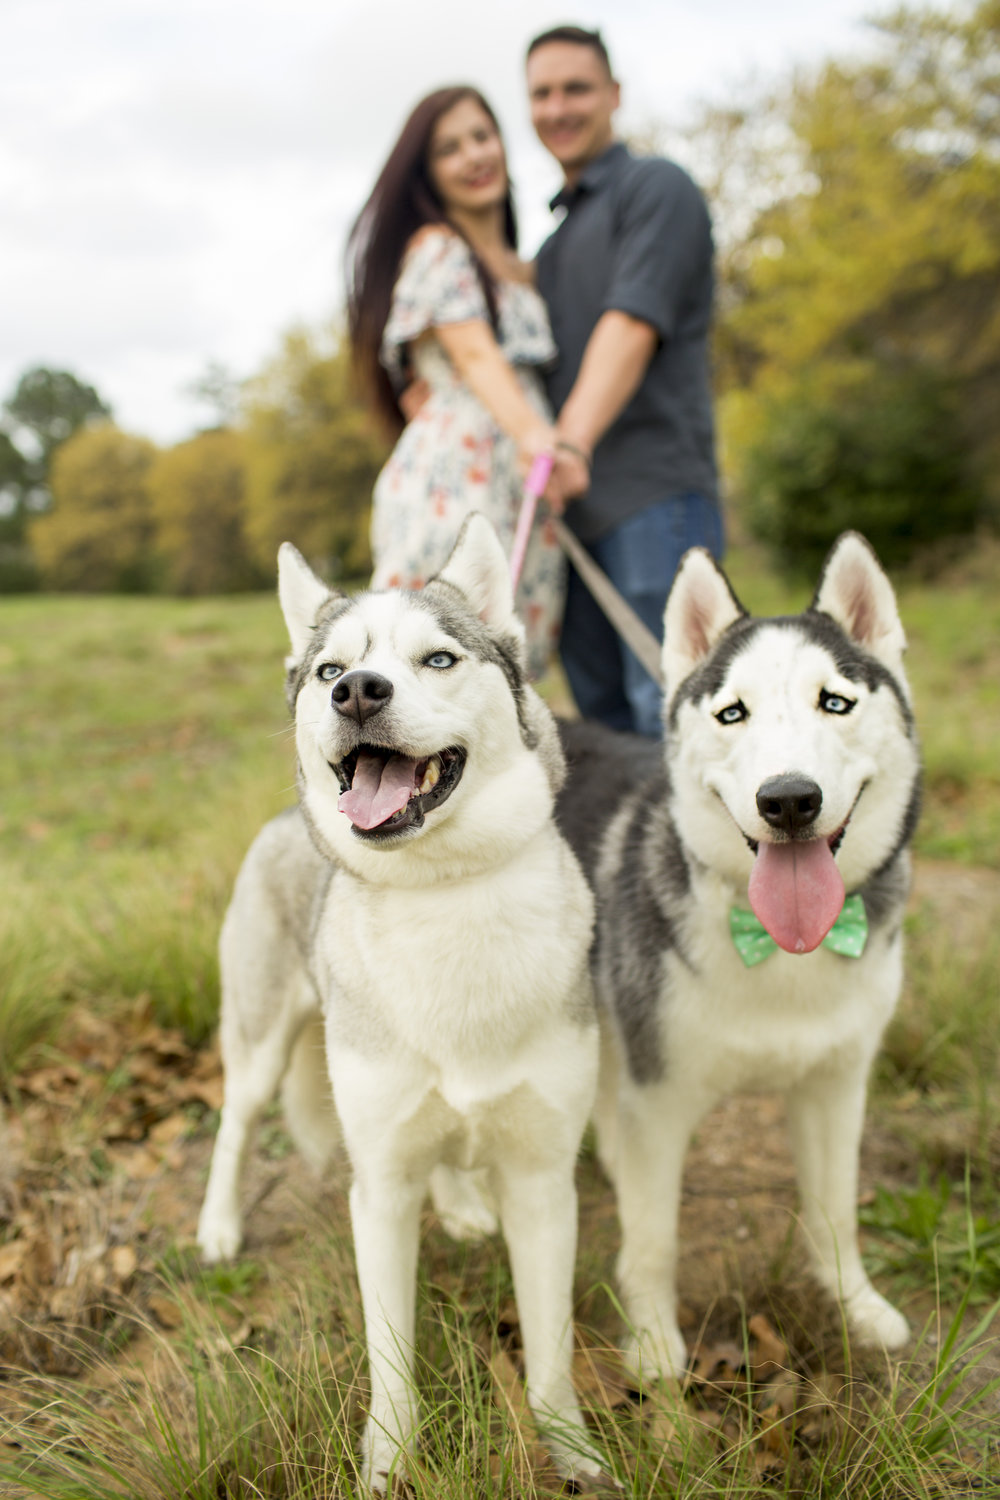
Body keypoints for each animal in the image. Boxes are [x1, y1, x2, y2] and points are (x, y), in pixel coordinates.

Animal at [194, 513, 602, 1488]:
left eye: (439, 659)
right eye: (332, 671)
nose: (358, 693)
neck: (445, 894)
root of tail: (280, 822)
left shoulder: (544, 1180)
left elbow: (551, 1349)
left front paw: (571, 1452)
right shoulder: (376, 1189)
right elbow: (391, 1354)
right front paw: (388, 1460)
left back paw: (459, 1204)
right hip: (259, 1045)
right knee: (233, 1125)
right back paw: (219, 1226)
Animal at [554, 534, 923, 1374]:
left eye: (835, 702)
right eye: (732, 713)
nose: (788, 799)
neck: (778, 950)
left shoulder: (835, 1087)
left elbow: (835, 1213)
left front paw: (857, 1308)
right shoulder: (660, 1099)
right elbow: (653, 1238)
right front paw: (653, 1345)